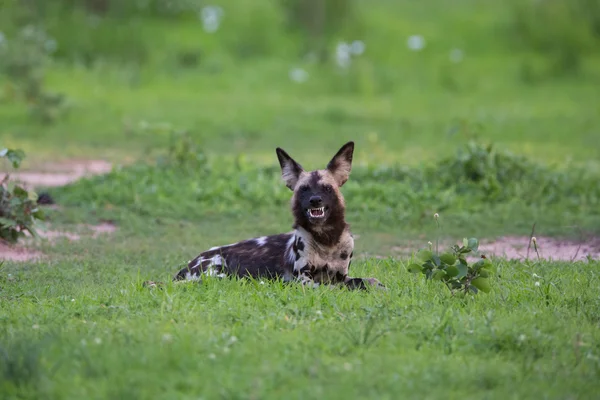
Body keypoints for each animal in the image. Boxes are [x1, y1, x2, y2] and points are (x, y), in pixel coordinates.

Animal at [175, 142, 384, 290]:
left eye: (326, 188)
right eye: (304, 189)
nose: (315, 200)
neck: (326, 240)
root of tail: (188, 265)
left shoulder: (342, 275)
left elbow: (368, 281)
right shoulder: (304, 281)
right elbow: (333, 287)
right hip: (220, 273)